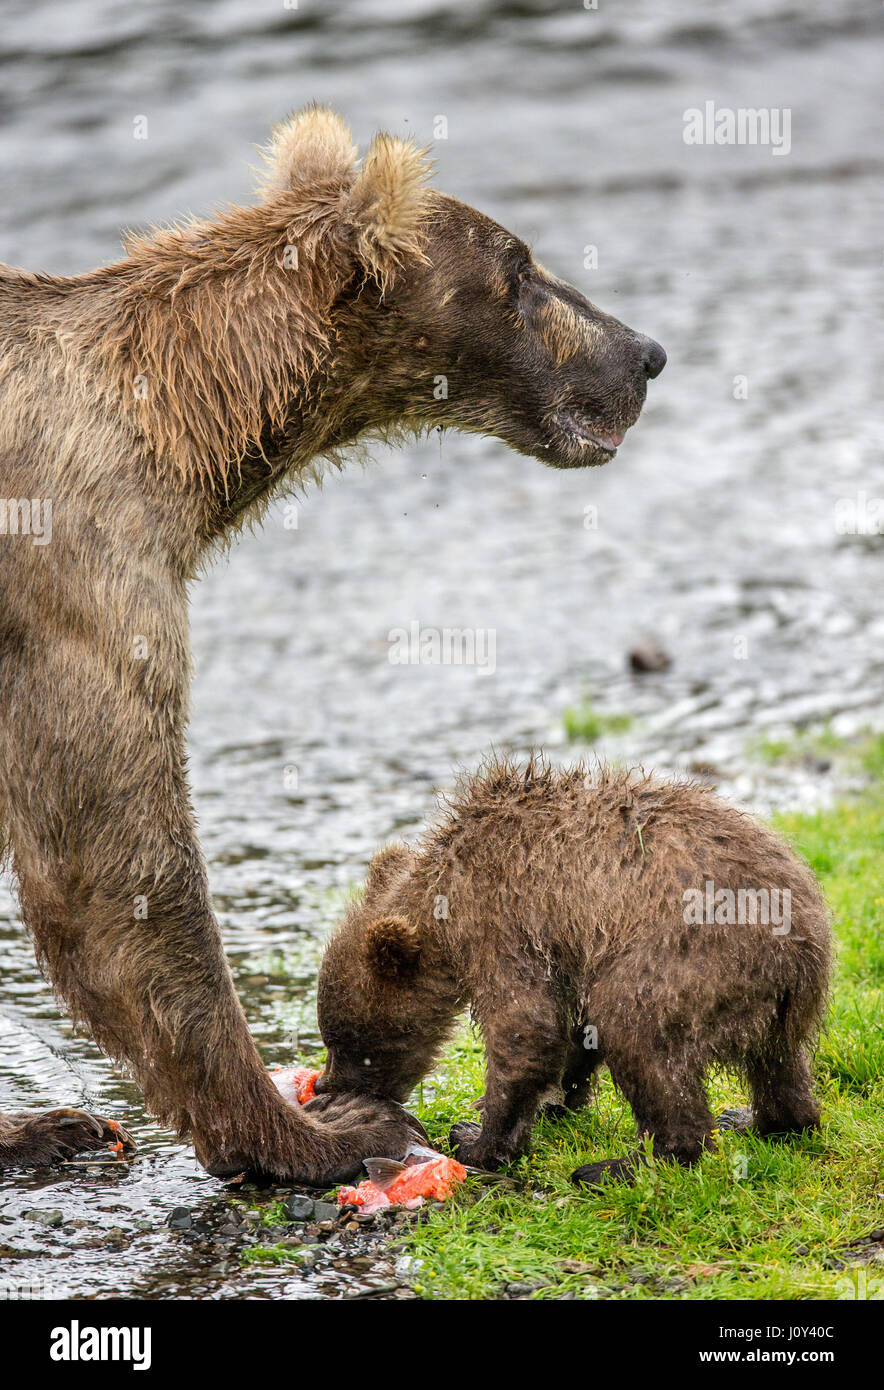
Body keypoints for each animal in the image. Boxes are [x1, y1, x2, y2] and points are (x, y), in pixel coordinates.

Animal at [0, 108, 665, 1179]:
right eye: (521, 270)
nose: (645, 353)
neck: (187, 428)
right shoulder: (78, 564)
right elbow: (113, 857)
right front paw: (316, 1131)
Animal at [316, 757, 831, 1182]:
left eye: (350, 1044)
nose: (325, 1084)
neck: (440, 906)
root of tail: (800, 944)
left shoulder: (500, 916)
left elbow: (525, 1029)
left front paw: (476, 1139)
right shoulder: (570, 945)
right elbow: (573, 1030)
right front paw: (557, 1099)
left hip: (685, 961)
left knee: (638, 1033)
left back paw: (625, 1164)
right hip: (775, 1002)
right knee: (780, 1064)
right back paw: (757, 1120)